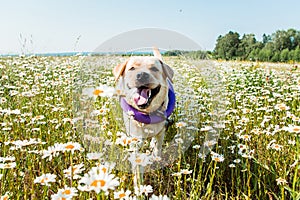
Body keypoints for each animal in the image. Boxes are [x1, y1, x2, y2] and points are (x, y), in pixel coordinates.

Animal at [112, 47, 175, 185]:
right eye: (132, 68)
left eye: (154, 69)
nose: (142, 75)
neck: (147, 113)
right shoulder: (135, 141)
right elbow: (137, 167)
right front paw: (139, 186)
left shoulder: (161, 133)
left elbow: (158, 148)